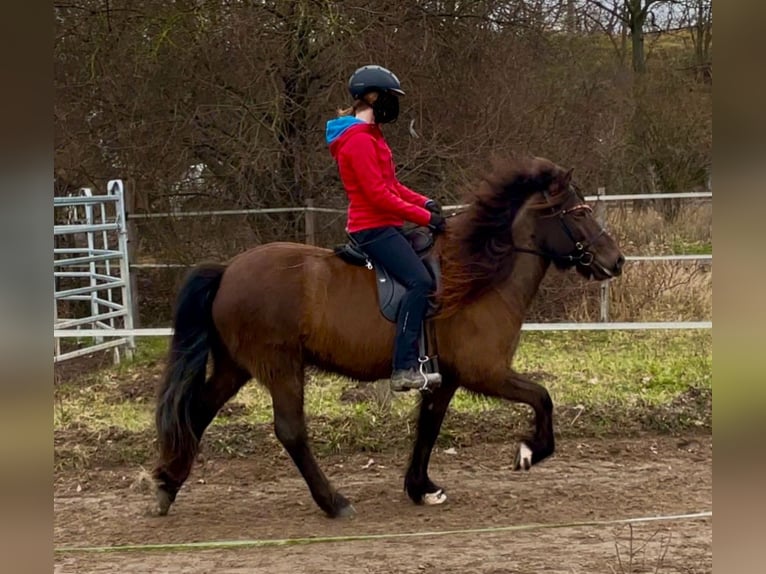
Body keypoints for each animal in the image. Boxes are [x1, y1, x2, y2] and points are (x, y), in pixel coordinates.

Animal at [150, 155, 624, 520]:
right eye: (579, 213)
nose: (616, 260)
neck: (479, 273)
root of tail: (228, 270)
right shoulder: (484, 371)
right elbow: (542, 397)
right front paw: (529, 451)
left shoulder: (445, 378)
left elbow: (429, 427)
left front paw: (421, 487)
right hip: (280, 366)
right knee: (290, 431)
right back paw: (334, 502)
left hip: (236, 366)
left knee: (197, 412)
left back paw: (167, 486)